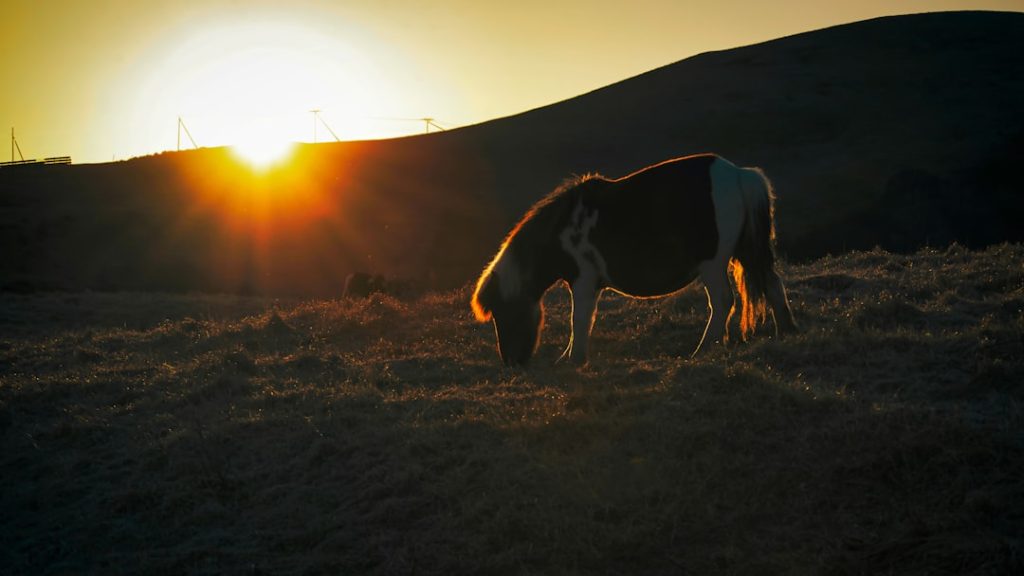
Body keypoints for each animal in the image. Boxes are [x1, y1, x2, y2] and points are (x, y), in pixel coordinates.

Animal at [471, 153, 798, 366]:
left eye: (502, 312)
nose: (511, 362)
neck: (562, 229)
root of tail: (741, 174)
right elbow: (583, 320)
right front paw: (570, 356)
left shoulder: (584, 280)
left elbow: (579, 319)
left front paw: (574, 359)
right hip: (748, 251)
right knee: (772, 285)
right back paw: (786, 331)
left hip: (713, 264)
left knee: (722, 302)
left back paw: (703, 348)